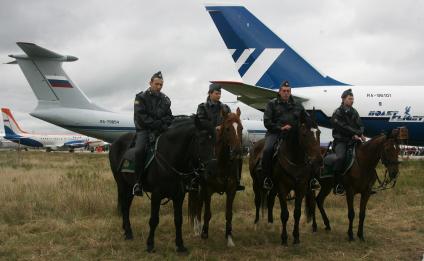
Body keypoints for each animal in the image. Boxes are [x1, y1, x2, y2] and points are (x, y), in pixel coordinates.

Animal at [109, 114, 215, 252]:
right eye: (202, 142)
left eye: (215, 142)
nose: (211, 171)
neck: (170, 155)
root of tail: (115, 143)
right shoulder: (156, 194)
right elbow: (154, 220)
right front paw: (150, 245)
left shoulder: (179, 195)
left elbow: (178, 220)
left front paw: (180, 246)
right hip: (122, 185)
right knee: (125, 207)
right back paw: (128, 233)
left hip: (129, 187)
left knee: (126, 206)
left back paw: (126, 230)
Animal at [188, 107, 243, 246]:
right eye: (228, 129)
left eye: (241, 128)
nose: (237, 151)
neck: (221, 164)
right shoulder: (207, 189)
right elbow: (207, 213)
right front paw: (204, 234)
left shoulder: (231, 190)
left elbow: (228, 214)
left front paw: (229, 238)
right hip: (197, 187)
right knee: (197, 205)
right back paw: (197, 229)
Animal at [248, 110, 322, 245]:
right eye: (304, 134)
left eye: (318, 132)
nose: (319, 161)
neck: (295, 160)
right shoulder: (282, 188)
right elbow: (284, 214)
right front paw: (284, 238)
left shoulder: (301, 188)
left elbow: (297, 213)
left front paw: (296, 237)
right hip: (256, 183)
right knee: (258, 201)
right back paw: (257, 224)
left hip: (273, 187)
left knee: (270, 201)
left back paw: (270, 224)